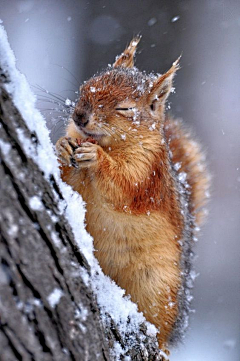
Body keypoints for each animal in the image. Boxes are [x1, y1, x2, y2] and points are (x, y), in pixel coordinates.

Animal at [55, 36, 209, 352]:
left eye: (125, 109)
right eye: (86, 85)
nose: (79, 116)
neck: (109, 144)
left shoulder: (147, 173)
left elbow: (124, 186)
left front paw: (98, 159)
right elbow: (68, 176)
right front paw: (63, 146)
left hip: (156, 285)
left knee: (160, 327)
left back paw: (162, 347)